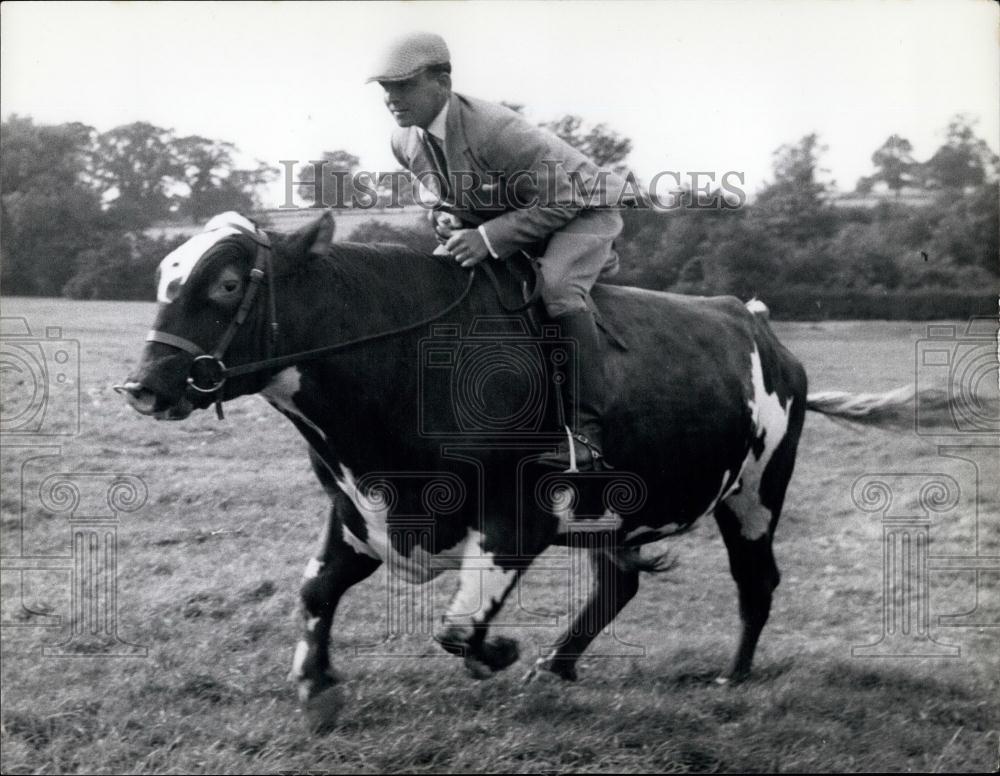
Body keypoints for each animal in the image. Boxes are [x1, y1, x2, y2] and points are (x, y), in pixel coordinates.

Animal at [115, 209, 916, 732]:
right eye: (162, 277)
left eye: (225, 284)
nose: (143, 385)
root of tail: (754, 318)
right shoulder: (360, 509)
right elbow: (315, 590)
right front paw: (317, 687)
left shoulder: (517, 516)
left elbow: (459, 627)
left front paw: (495, 650)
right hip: (617, 509)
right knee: (618, 582)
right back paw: (557, 665)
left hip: (754, 493)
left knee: (756, 581)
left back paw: (734, 675)